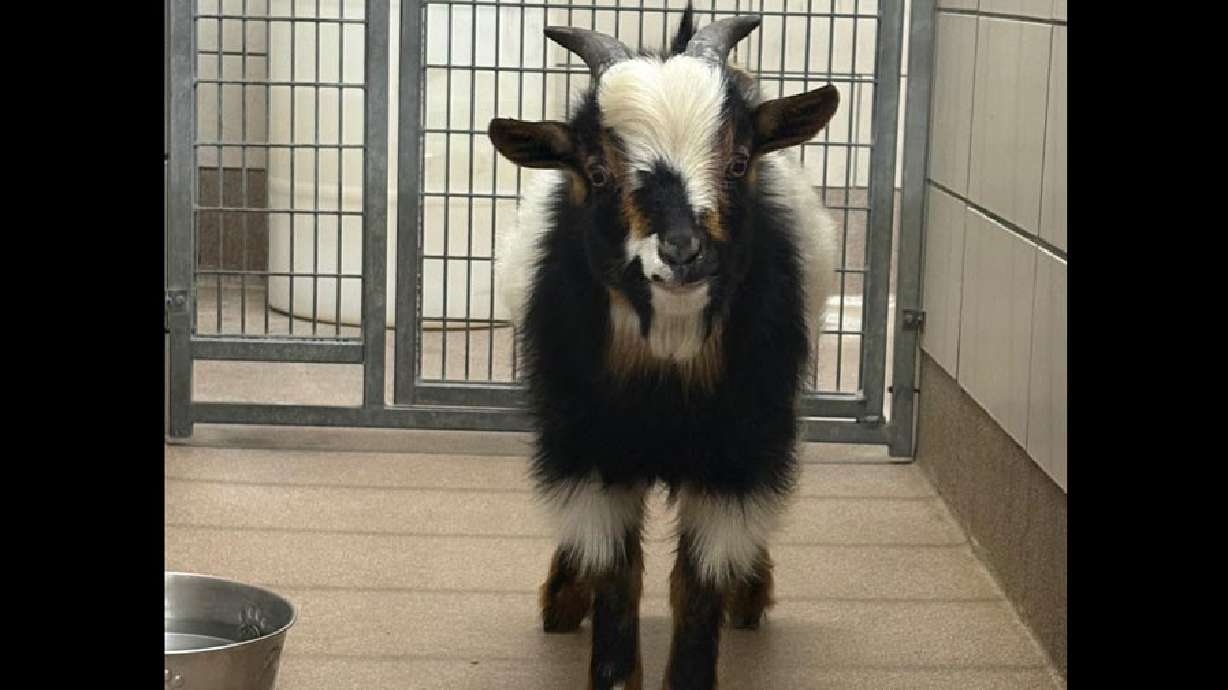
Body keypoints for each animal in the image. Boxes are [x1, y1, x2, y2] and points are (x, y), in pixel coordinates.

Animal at [488, 4, 838, 689]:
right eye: (596, 171)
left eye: (739, 161)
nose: (681, 252)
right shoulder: (589, 447)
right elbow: (617, 575)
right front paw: (610, 665)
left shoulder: (737, 452)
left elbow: (698, 582)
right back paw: (561, 602)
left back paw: (750, 595)